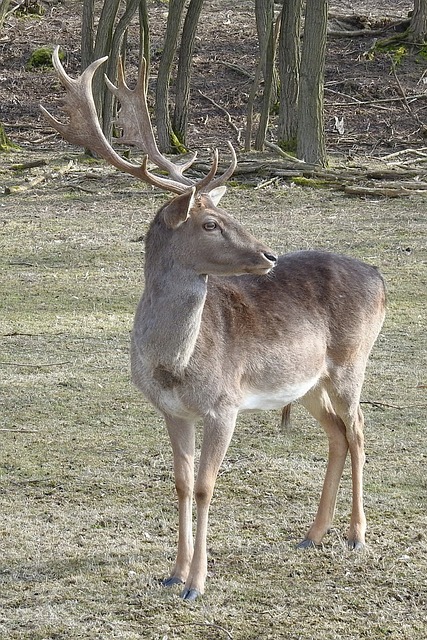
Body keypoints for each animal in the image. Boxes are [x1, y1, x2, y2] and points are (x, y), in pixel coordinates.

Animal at [42, 48, 388, 600]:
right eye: (210, 223)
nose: (269, 254)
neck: (175, 365)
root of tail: (379, 276)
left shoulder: (225, 404)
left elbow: (206, 485)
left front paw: (197, 583)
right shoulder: (171, 410)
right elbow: (182, 482)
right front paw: (172, 572)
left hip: (351, 361)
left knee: (357, 430)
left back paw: (355, 535)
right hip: (307, 381)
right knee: (336, 434)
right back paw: (313, 534)